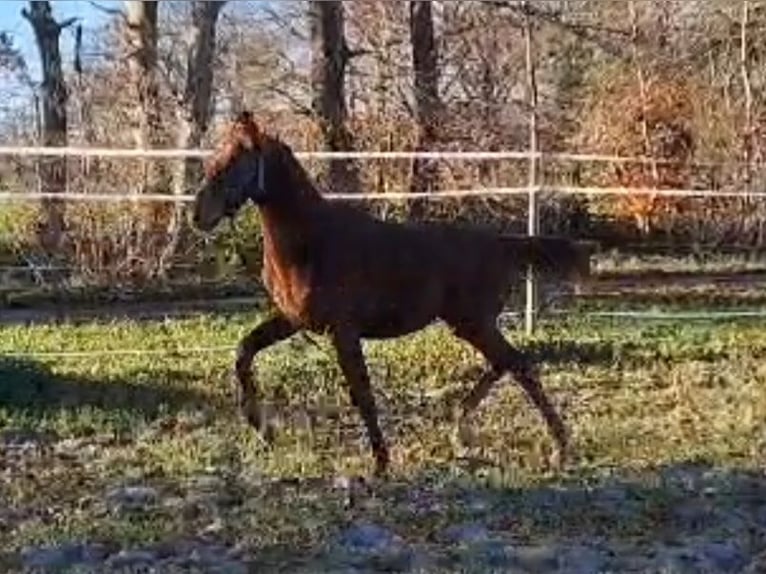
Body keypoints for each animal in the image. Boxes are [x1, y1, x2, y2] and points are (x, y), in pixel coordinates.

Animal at [192, 111, 592, 476]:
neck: (311, 243)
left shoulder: (343, 331)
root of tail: (501, 244)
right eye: (215, 161)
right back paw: (460, 430)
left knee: (519, 365)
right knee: (505, 364)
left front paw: (381, 463)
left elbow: (363, 394)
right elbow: (244, 351)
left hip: (474, 322)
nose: (198, 216)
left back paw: (558, 447)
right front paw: (261, 429)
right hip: (468, 324)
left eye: (233, 163)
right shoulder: (293, 320)